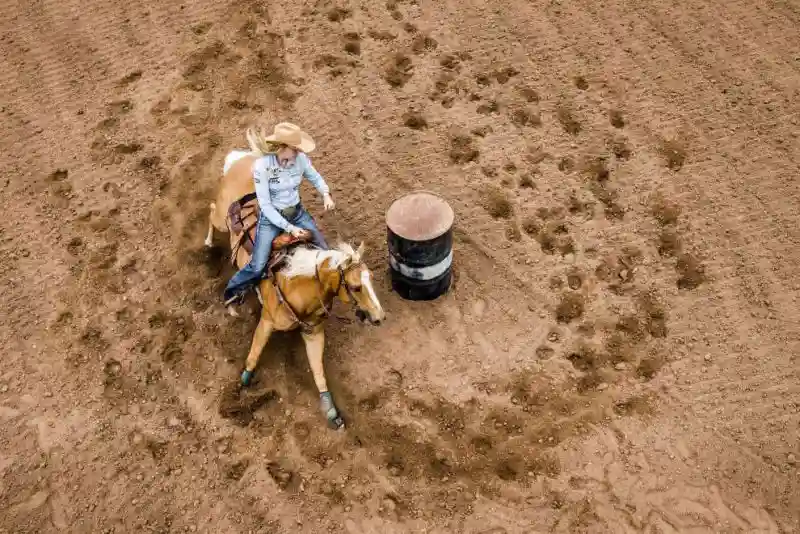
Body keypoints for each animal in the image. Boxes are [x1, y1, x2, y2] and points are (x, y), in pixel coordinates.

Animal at [203, 135, 384, 432]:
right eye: (357, 287)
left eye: (372, 281)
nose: (380, 317)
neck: (296, 285)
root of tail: (246, 159)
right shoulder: (266, 322)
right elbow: (253, 355)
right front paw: (241, 388)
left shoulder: (313, 333)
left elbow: (319, 373)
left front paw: (331, 411)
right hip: (221, 219)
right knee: (210, 212)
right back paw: (210, 250)